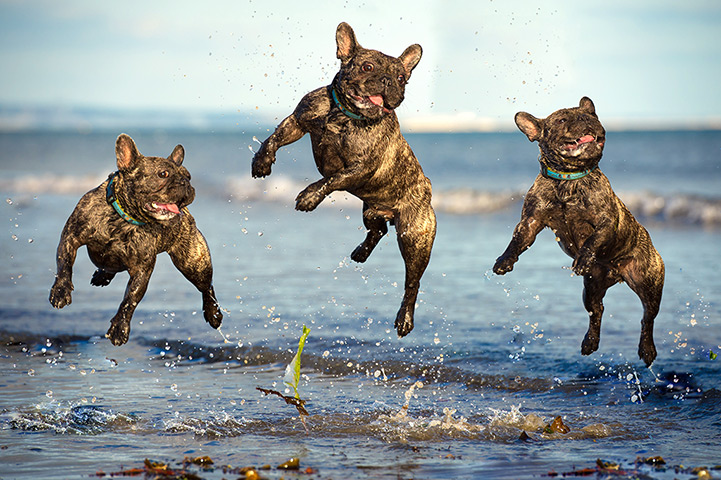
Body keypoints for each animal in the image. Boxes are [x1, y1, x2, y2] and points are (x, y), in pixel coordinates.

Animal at [50, 134, 222, 344]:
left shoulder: (141, 271)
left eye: (188, 176)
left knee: (207, 287)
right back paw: (102, 275)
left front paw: (119, 328)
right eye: (163, 174)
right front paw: (61, 290)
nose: (185, 183)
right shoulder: (71, 237)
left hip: (193, 263)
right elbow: (64, 263)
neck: (123, 218)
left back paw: (213, 314)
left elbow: (130, 299)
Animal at [250, 21, 436, 338]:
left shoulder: (360, 168)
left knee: (412, 281)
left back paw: (405, 318)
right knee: (378, 231)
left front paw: (310, 196)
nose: (387, 81)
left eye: (401, 77)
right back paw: (361, 252)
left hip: (414, 236)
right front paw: (262, 160)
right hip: (371, 211)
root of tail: (428, 191)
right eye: (367, 66)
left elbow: (333, 179)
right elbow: (275, 137)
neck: (345, 115)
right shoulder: (298, 120)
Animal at [496, 98, 664, 368]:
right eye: (563, 120)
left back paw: (647, 349)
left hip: (648, 284)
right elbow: (517, 240)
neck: (568, 177)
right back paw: (590, 341)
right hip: (591, 288)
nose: (586, 119)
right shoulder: (531, 221)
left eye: (593, 115)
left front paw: (584, 257)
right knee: (597, 311)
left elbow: (593, 239)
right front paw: (504, 260)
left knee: (647, 317)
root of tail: (616, 274)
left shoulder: (606, 221)